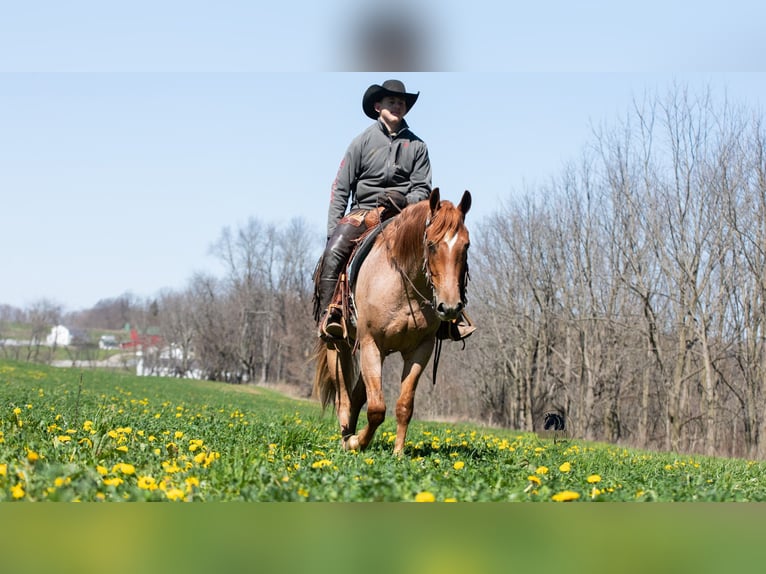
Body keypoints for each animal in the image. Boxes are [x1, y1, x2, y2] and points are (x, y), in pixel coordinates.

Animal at [313, 188, 472, 454]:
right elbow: (377, 409)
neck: (403, 284)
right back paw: (346, 437)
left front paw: (398, 453)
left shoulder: (420, 349)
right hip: (338, 342)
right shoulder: (370, 343)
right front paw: (356, 442)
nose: (450, 307)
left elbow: (404, 406)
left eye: (466, 245)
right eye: (431, 245)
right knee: (343, 395)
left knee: (356, 395)